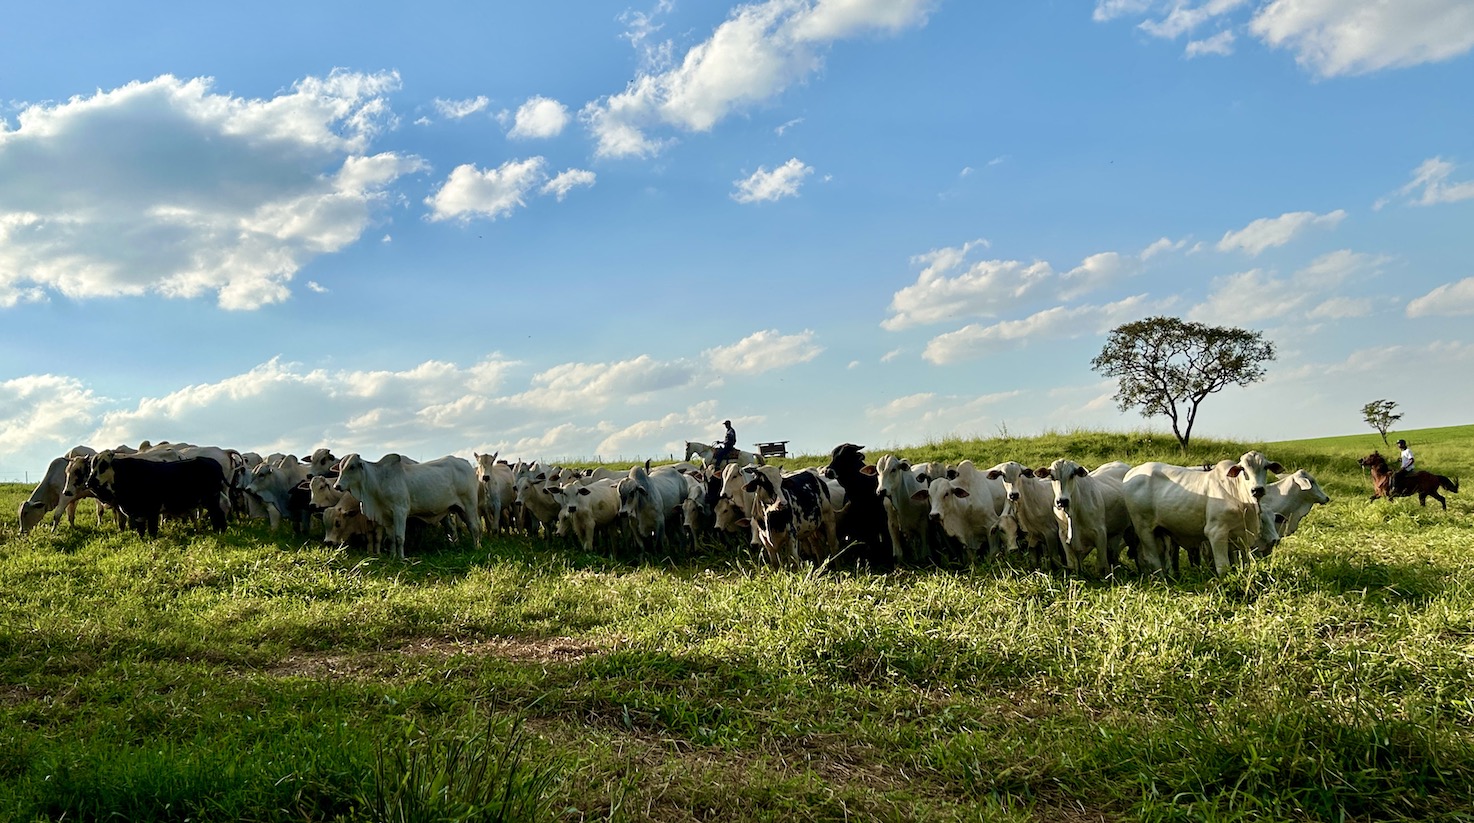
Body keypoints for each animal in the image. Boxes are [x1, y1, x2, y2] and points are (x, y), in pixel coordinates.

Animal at [86, 451, 228, 542]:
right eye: (91, 467)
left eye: (103, 465)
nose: (88, 483)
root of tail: (212, 462)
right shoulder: (139, 514)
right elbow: (141, 531)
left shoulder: (152, 510)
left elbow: (152, 531)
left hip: (211, 499)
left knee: (217, 514)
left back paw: (220, 531)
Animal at [331, 454, 480, 563]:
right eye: (340, 468)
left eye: (352, 467)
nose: (336, 486)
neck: (378, 481)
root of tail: (466, 463)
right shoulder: (387, 517)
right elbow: (391, 538)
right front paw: (392, 556)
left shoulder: (400, 512)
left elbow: (399, 537)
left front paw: (401, 558)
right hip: (458, 509)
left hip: (469, 505)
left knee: (474, 527)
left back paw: (477, 547)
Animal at [1126, 454, 1279, 578]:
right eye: (1243, 469)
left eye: (1266, 467)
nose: (1257, 489)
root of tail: (1131, 473)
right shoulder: (1216, 532)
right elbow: (1223, 566)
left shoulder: (1242, 535)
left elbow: (1244, 563)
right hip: (1144, 529)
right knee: (1152, 558)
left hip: (1160, 532)